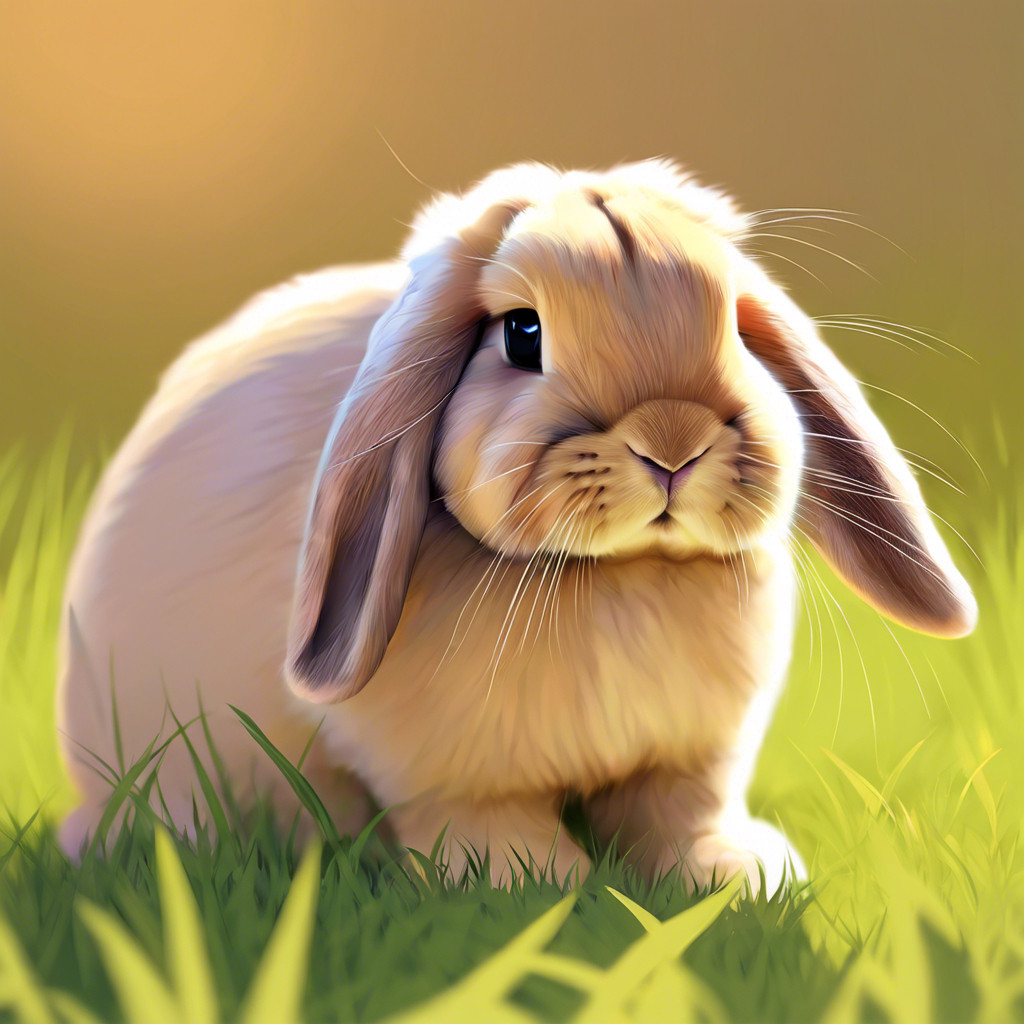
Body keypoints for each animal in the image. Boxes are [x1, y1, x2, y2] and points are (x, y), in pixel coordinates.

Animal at [57, 159, 976, 892]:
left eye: (737, 333)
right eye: (521, 334)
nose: (672, 440)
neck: (613, 575)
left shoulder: (689, 759)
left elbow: (683, 812)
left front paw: (735, 877)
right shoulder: (452, 779)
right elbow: (483, 824)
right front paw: (530, 886)